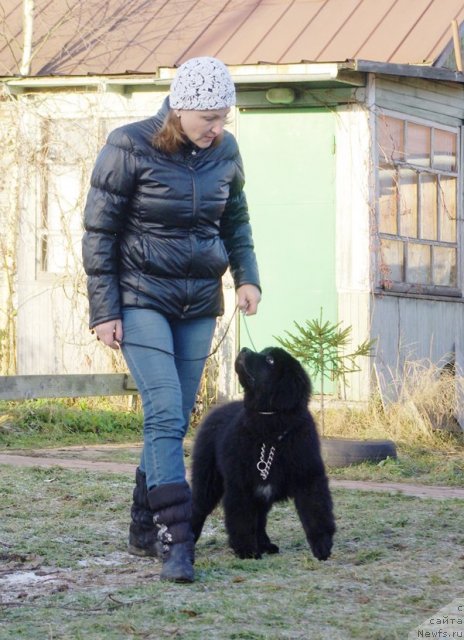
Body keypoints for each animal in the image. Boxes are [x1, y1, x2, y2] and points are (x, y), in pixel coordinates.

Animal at [190, 344, 336, 560]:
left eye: (270, 360)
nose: (244, 349)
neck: (269, 427)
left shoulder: (308, 476)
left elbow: (316, 511)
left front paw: (322, 547)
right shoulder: (240, 484)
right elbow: (241, 520)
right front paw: (246, 550)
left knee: (260, 520)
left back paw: (265, 544)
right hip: (208, 481)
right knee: (198, 509)